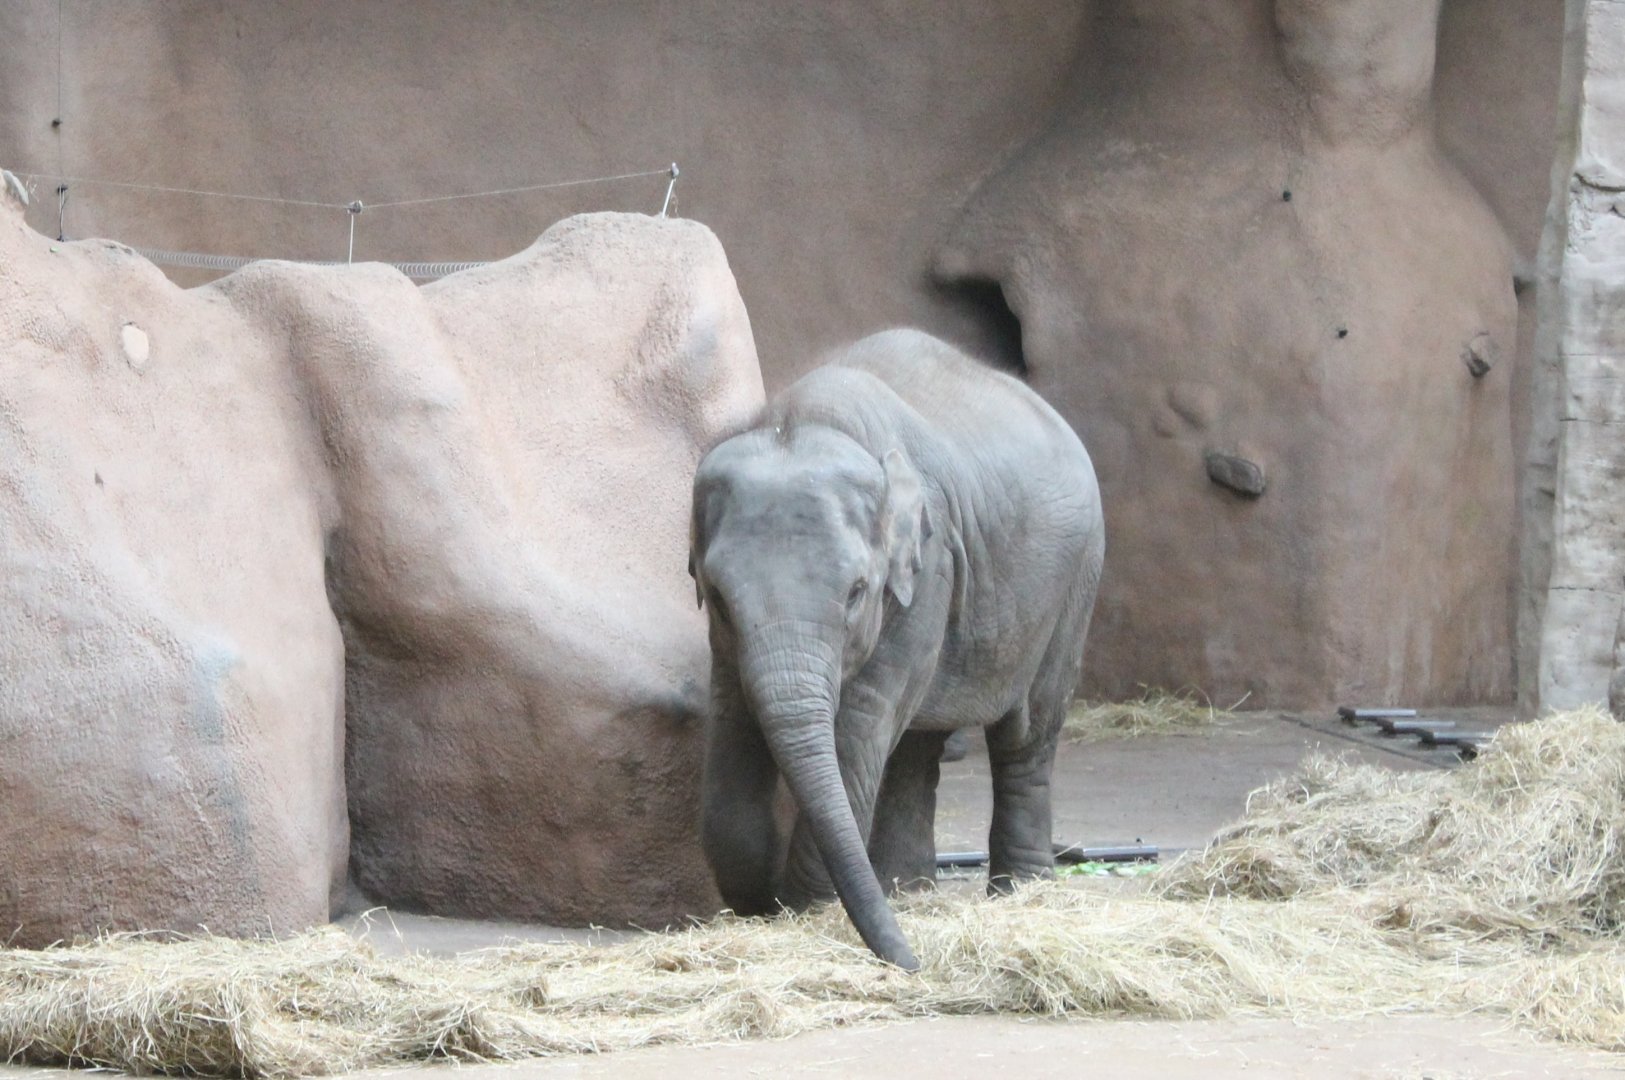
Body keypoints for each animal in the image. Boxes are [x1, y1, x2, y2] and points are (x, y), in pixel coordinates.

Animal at [688, 328, 1104, 970]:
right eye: (717, 597)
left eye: (858, 592)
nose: (913, 962)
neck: (800, 420)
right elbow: (734, 725)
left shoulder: (927, 571)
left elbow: (858, 727)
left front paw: (806, 910)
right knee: (917, 746)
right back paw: (907, 890)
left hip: (1076, 580)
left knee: (1028, 732)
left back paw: (1019, 891)